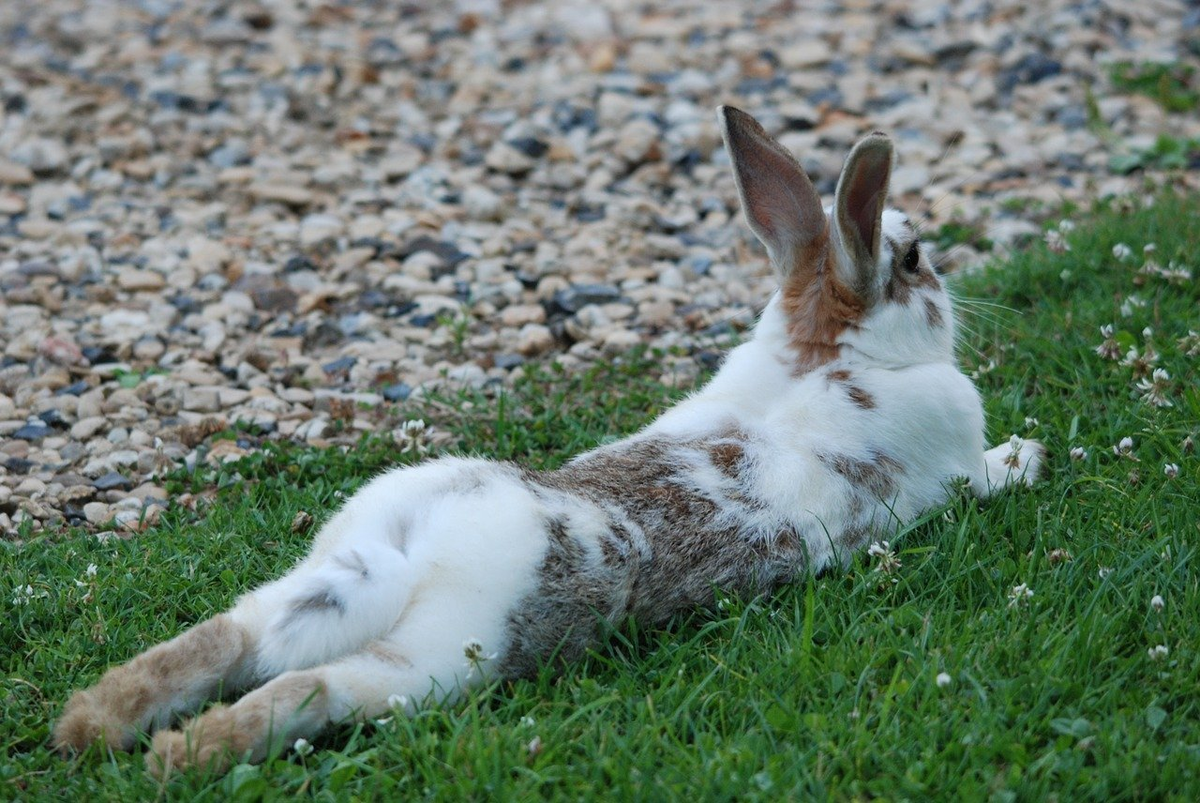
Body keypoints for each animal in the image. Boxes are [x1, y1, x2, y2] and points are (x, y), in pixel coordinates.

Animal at [54, 103, 1041, 772]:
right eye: (914, 260)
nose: (948, 282)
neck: (823, 356)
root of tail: (414, 554)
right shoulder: (950, 467)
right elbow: (987, 474)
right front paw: (1030, 455)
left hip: (320, 577)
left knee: (224, 640)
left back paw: (88, 724)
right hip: (442, 658)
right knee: (306, 687)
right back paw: (176, 758)